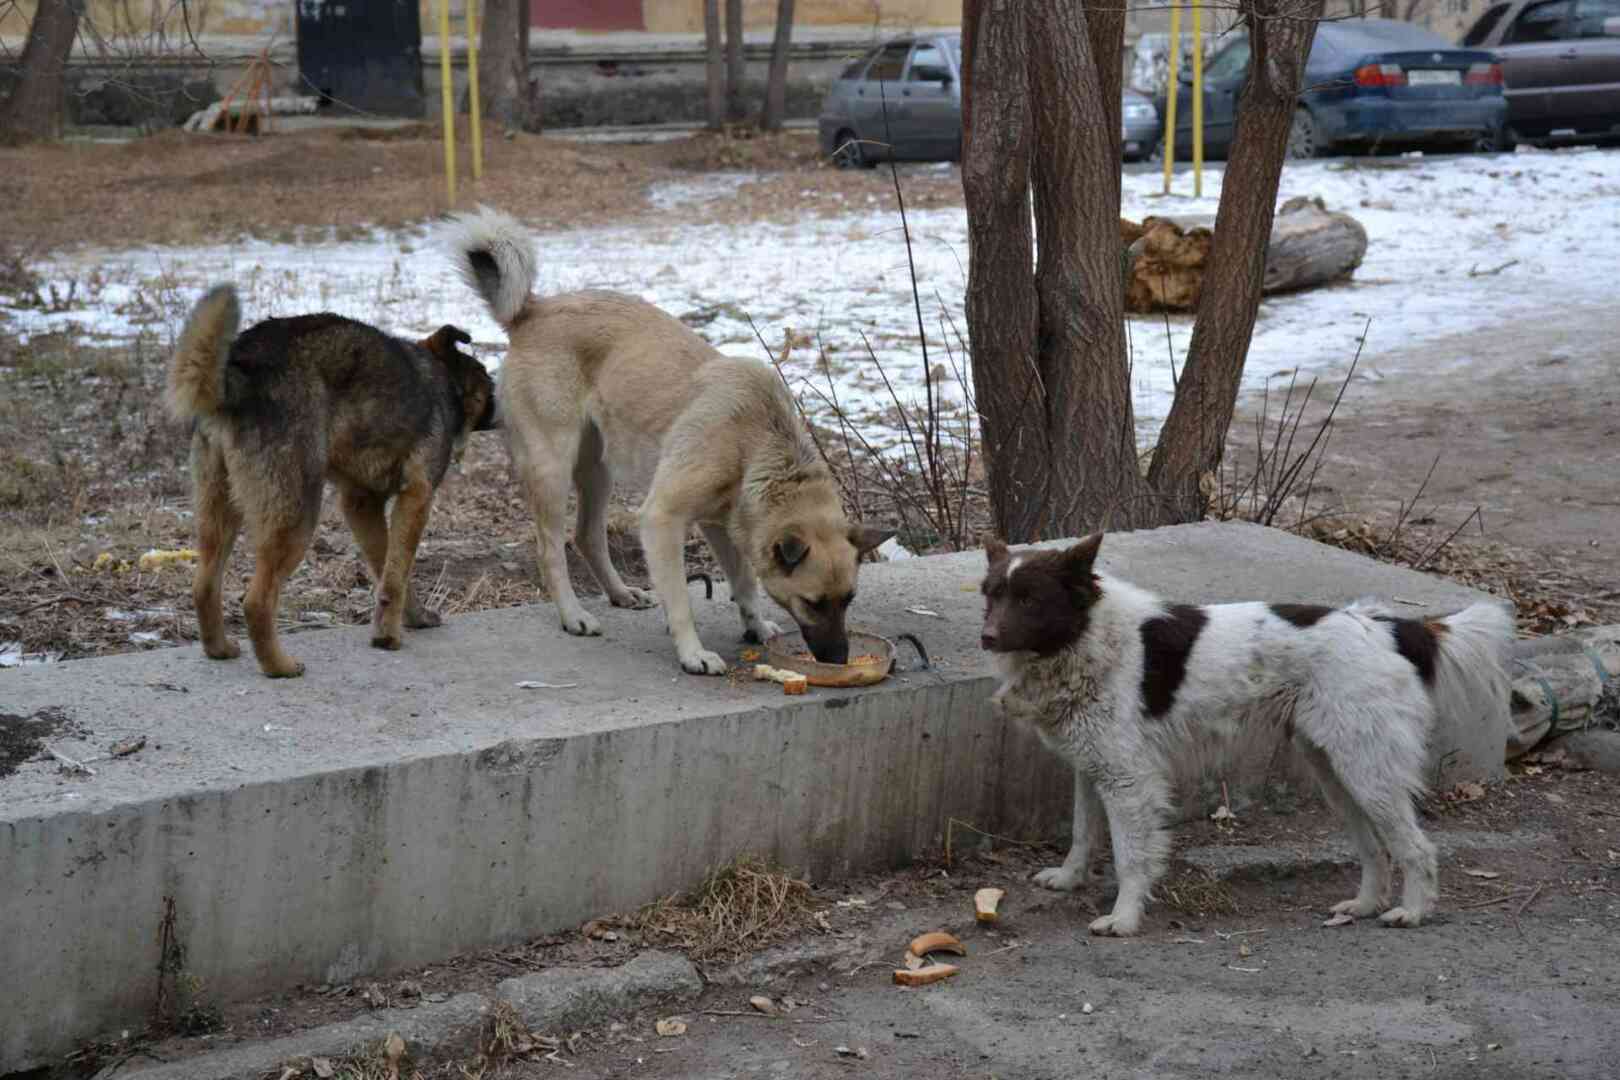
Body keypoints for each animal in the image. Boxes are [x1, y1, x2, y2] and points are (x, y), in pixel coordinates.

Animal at [165, 284, 495, 676]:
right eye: (489, 380)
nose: (504, 407)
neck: (443, 381)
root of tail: (237, 373)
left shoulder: (361, 504)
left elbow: (388, 569)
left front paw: (408, 619)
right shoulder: (416, 498)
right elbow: (397, 572)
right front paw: (389, 637)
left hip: (218, 510)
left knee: (203, 584)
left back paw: (219, 648)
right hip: (296, 515)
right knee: (257, 601)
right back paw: (279, 666)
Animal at [443, 205, 894, 670]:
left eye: (849, 599)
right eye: (813, 602)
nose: (840, 659)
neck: (759, 442)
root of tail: (533, 310)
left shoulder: (720, 523)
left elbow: (744, 581)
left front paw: (754, 625)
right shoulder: (662, 519)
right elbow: (680, 601)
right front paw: (693, 653)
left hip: (598, 469)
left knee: (587, 536)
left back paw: (620, 593)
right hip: (553, 468)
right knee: (550, 549)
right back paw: (573, 615)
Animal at [972, 534, 1516, 939]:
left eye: (1029, 599)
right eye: (992, 594)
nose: (987, 638)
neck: (1084, 637)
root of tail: (1387, 627)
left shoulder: (1129, 781)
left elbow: (1130, 857)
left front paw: (1124, 918)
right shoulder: (1093, 768)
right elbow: (1082, 834)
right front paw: (1068, 879)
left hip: (1367, 772)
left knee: (1417, 849)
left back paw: (1414, 912)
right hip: (1336, 774)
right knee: (1374, 848)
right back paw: (1362, 906)